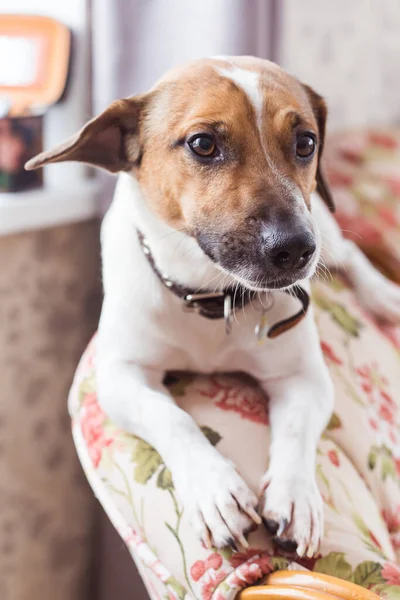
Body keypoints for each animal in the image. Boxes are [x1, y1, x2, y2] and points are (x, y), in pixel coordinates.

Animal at [26, 57, 400, 556]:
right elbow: (173, 417)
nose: (295, 249)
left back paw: (384, 296)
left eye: (305, 143)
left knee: (351, 255)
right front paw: (214, 490)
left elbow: (296, 431)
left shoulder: (305, 377)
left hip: (325, 227)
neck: (211, 295)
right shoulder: (121, 375)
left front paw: (297, 496)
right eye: (203, 144)